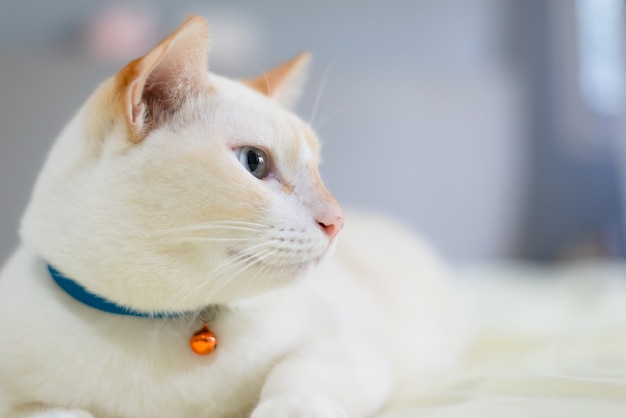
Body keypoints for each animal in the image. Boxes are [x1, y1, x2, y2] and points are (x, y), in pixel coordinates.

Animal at [0, 16, 464, 418]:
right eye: (254, 162)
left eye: (318, 169)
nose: (337, 221)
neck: (158, 323)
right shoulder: (24, 403)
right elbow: (62, 412)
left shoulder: (348, 346)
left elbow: (298, 375)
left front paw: (284, 410)